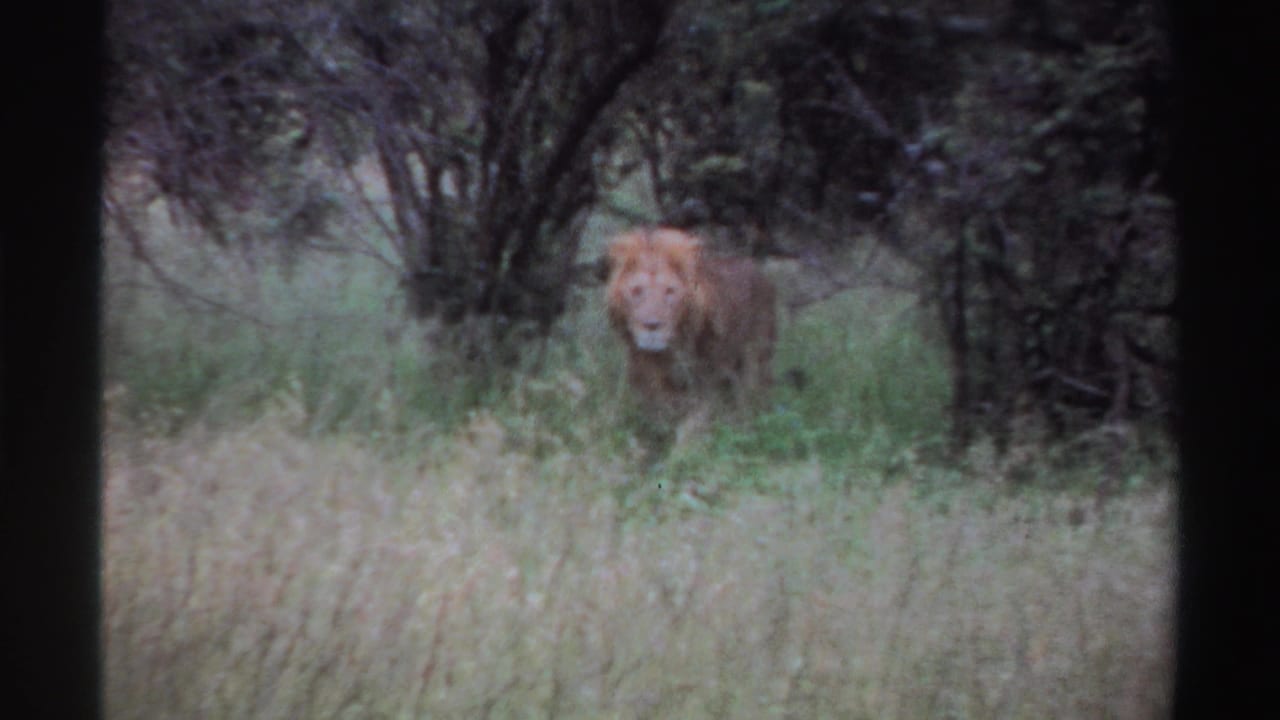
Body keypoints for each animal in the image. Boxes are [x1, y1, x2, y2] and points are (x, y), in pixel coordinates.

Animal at [604, 227, 777, 424]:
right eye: (637, 291)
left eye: (670, 291)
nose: (652, 325)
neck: (663, 355)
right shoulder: (646, 383)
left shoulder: (706, 385)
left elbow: (691, 424)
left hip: (757, 359)